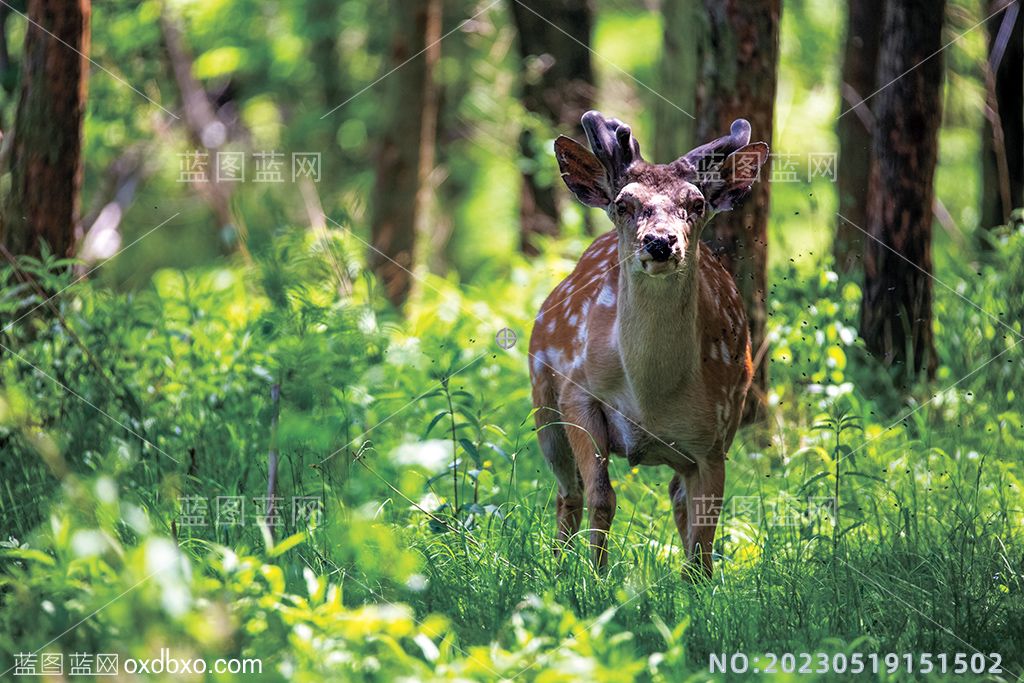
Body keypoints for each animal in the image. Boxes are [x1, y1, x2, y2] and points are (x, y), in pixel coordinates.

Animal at [528, 111, 770, 577]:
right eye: (624, 204)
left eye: (696, 204)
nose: (660, 240)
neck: (651, 396)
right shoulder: (578, 393)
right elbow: (602, 497)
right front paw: (595, 577)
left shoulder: (717, 432)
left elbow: (705, 519)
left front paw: (699, 584)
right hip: (542, 400)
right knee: (568, 492)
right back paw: (557, 565)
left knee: (676, 495)